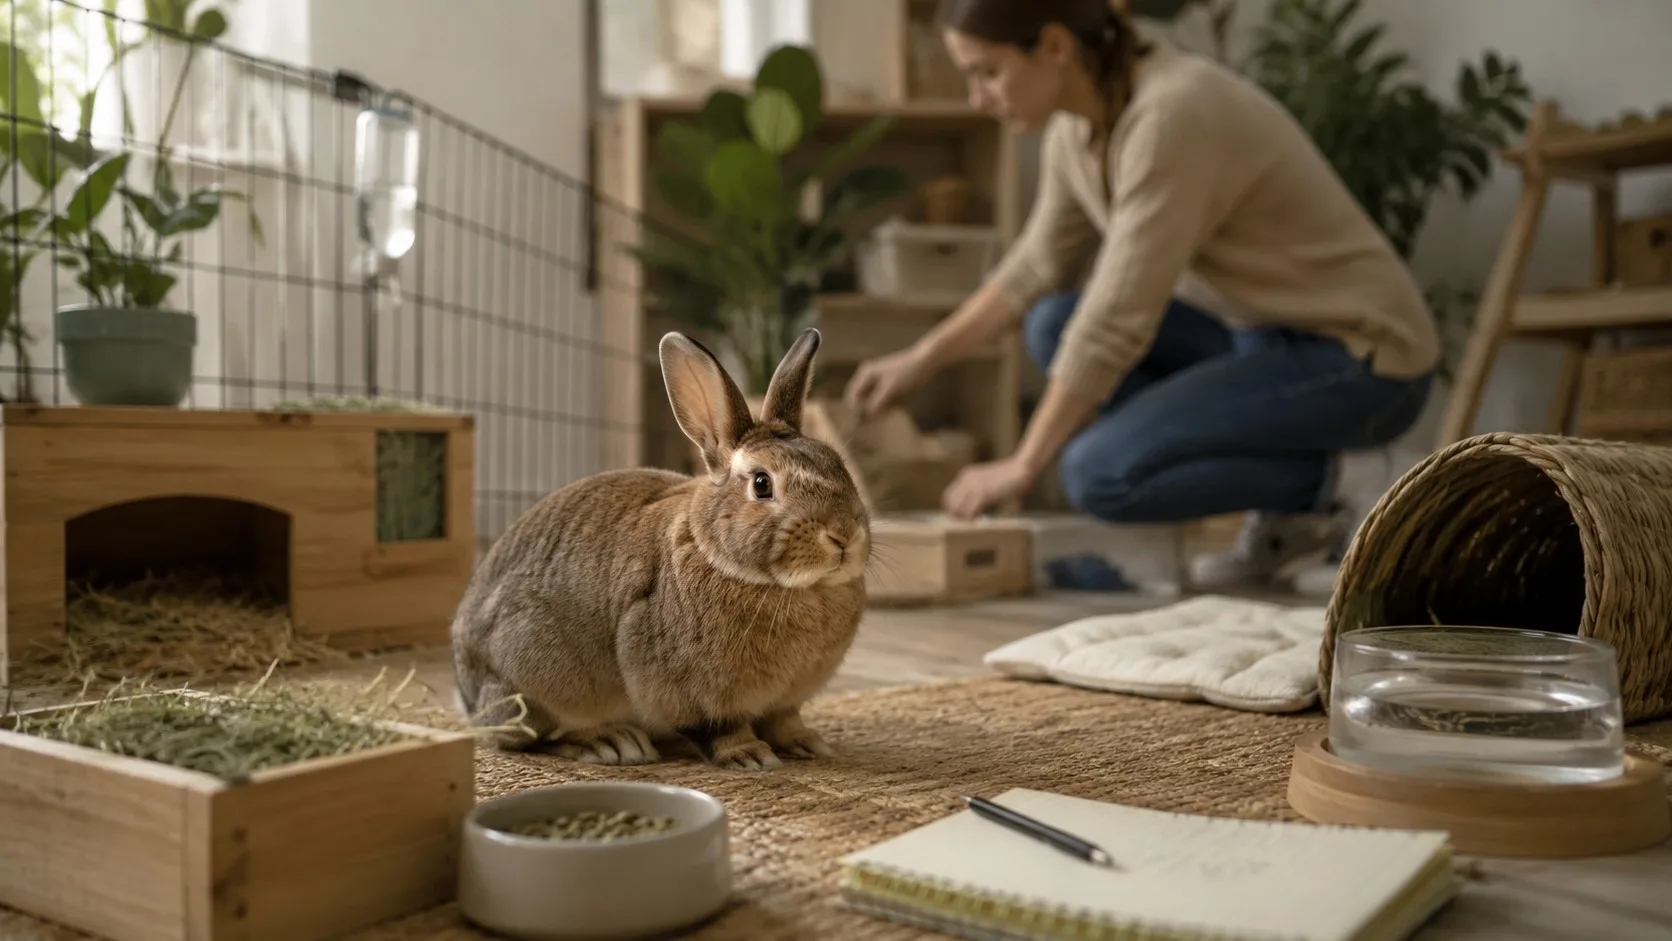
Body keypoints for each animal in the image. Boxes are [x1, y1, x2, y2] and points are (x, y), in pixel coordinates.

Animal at [449, 327, 871, 771]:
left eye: (837, 464)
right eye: (762, 484)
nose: (844, 535)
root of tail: (467, 694)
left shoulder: (786, 701)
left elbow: (784, 720)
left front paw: (807, 743)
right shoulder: (693, 692)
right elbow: (720, 729)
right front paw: (751, 756)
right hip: (533, 678)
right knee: (537, 735)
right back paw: (611, 742)